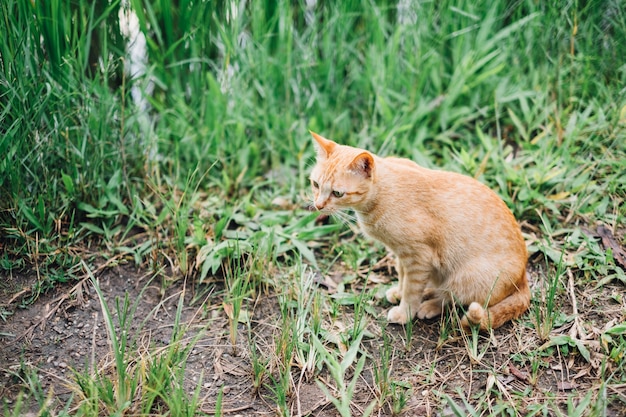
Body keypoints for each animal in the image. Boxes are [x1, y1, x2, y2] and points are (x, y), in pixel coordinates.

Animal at [308, 132, 528, 330]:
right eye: (315, 184)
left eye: (337, 193)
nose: (318, 206)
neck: (383, 193)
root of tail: (523, 277)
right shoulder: (401, 254)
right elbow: (403, 277)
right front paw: (398, 293)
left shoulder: (419, 257)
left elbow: (412, 290)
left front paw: (405, 312)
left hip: (465, 278)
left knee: (451, 299)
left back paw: (429, 305)